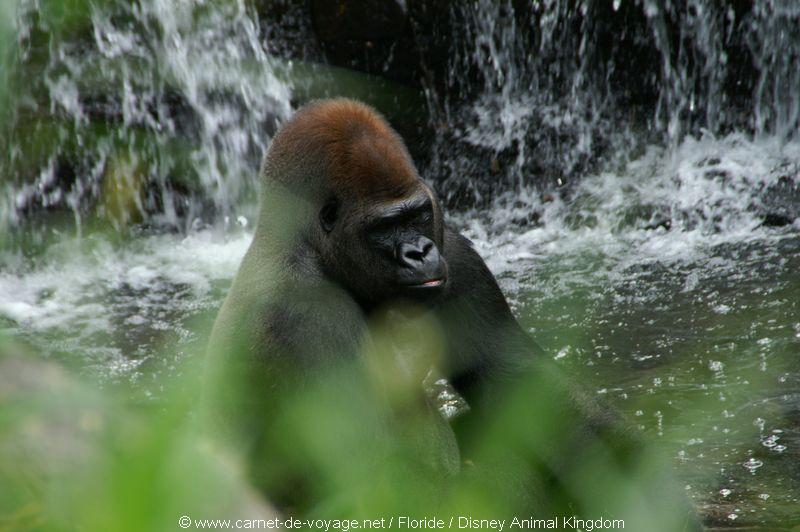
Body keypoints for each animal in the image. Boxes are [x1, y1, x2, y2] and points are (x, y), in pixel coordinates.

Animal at [208, 98, 700, 528]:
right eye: (384, 226)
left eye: (418, 214)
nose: (420, 252)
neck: (309, 249)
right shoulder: (307, 318)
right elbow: (380, 490)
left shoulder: (456, 254)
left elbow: (532, 395)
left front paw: (650, 487)